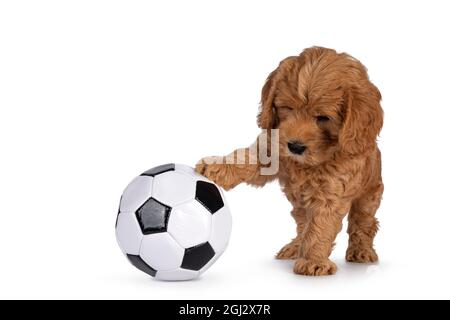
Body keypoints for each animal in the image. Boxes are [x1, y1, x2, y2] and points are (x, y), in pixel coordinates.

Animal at [197, 47, 384, 276]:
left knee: (364, 223)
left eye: (323, 118)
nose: (294, 146)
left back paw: (361, 251)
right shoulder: (271, 149)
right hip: (299, 205)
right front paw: (215, 166)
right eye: (288, 108)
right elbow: (246, 158)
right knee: (302, 223)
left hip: (369, 194)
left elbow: (319, 227)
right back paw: (295, 247)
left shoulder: (331, 193)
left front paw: (313, 261)